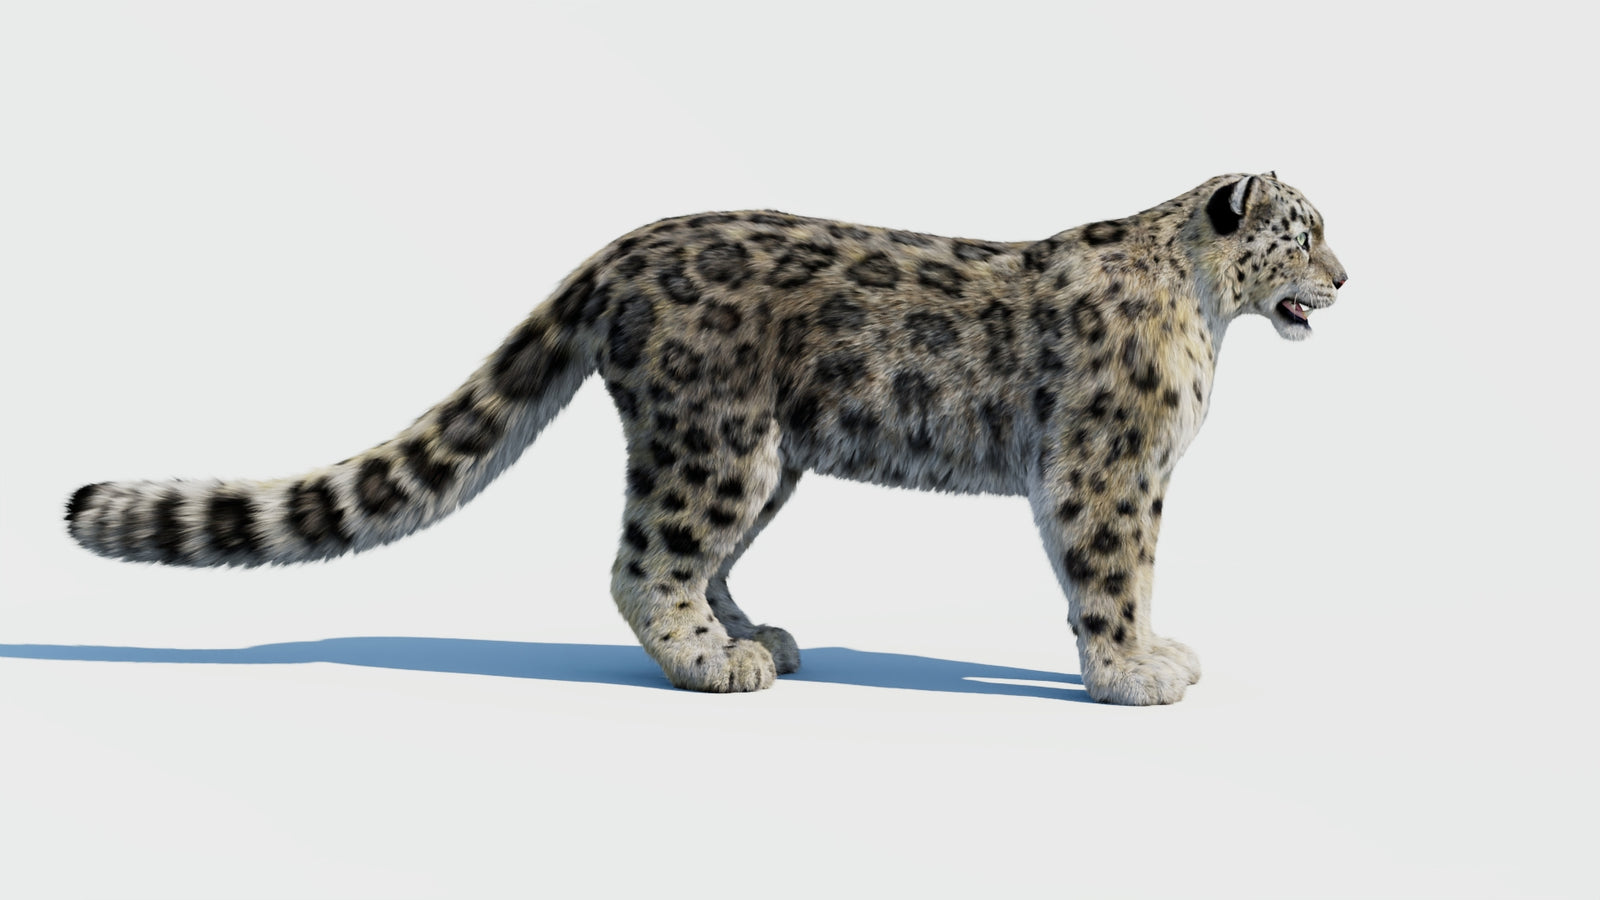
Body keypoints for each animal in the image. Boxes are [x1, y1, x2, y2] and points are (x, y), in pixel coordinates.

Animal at [65, 172, 1348, 705]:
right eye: (1304, 231)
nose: (1345, 277)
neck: (1208, 312)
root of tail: (620, 249)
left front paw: (1139, 660)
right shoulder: (1109, 466)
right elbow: (1113, 575)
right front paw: (1134, 672)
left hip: (766, 454)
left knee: (701, 559)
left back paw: (751, 635)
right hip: (715, 439)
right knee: (648, 558)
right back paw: (709, 662)